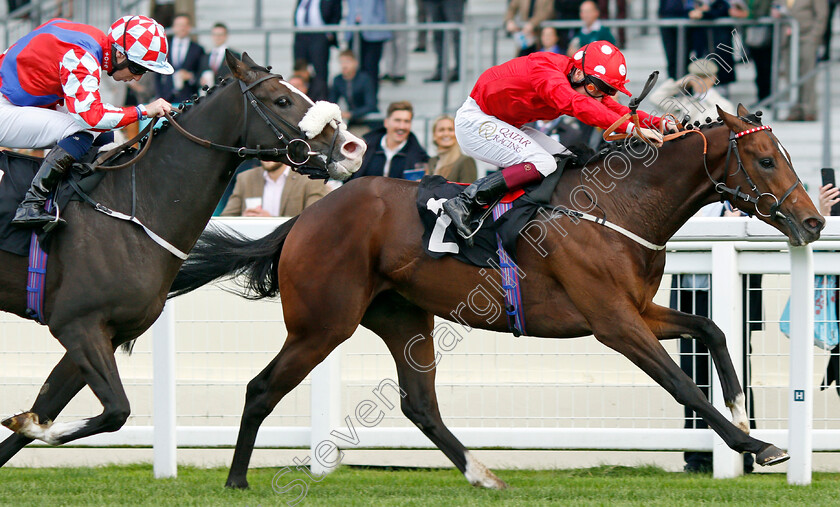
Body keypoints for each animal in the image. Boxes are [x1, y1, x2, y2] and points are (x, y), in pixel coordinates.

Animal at [0, 53, 368, 466]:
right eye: (282, 100)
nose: (354, 147)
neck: (131, 205)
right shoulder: (77, 324)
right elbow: (115, 411)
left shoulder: (105, 331)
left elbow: (43, 413)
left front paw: (26, 422)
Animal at [169, 105, 820, 490]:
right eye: (766, 159)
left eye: (788, 156)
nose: (814, 222)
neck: (618, 205)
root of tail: (304, 220)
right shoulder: (613, 321)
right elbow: (682, 383)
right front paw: (758, 445)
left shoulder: (636, 309)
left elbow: (710, 329)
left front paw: (743, 411)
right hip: (322, 324)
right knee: (261, 388)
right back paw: (236, 481)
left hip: (402, 317)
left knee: (420, 404)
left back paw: (481, 472)